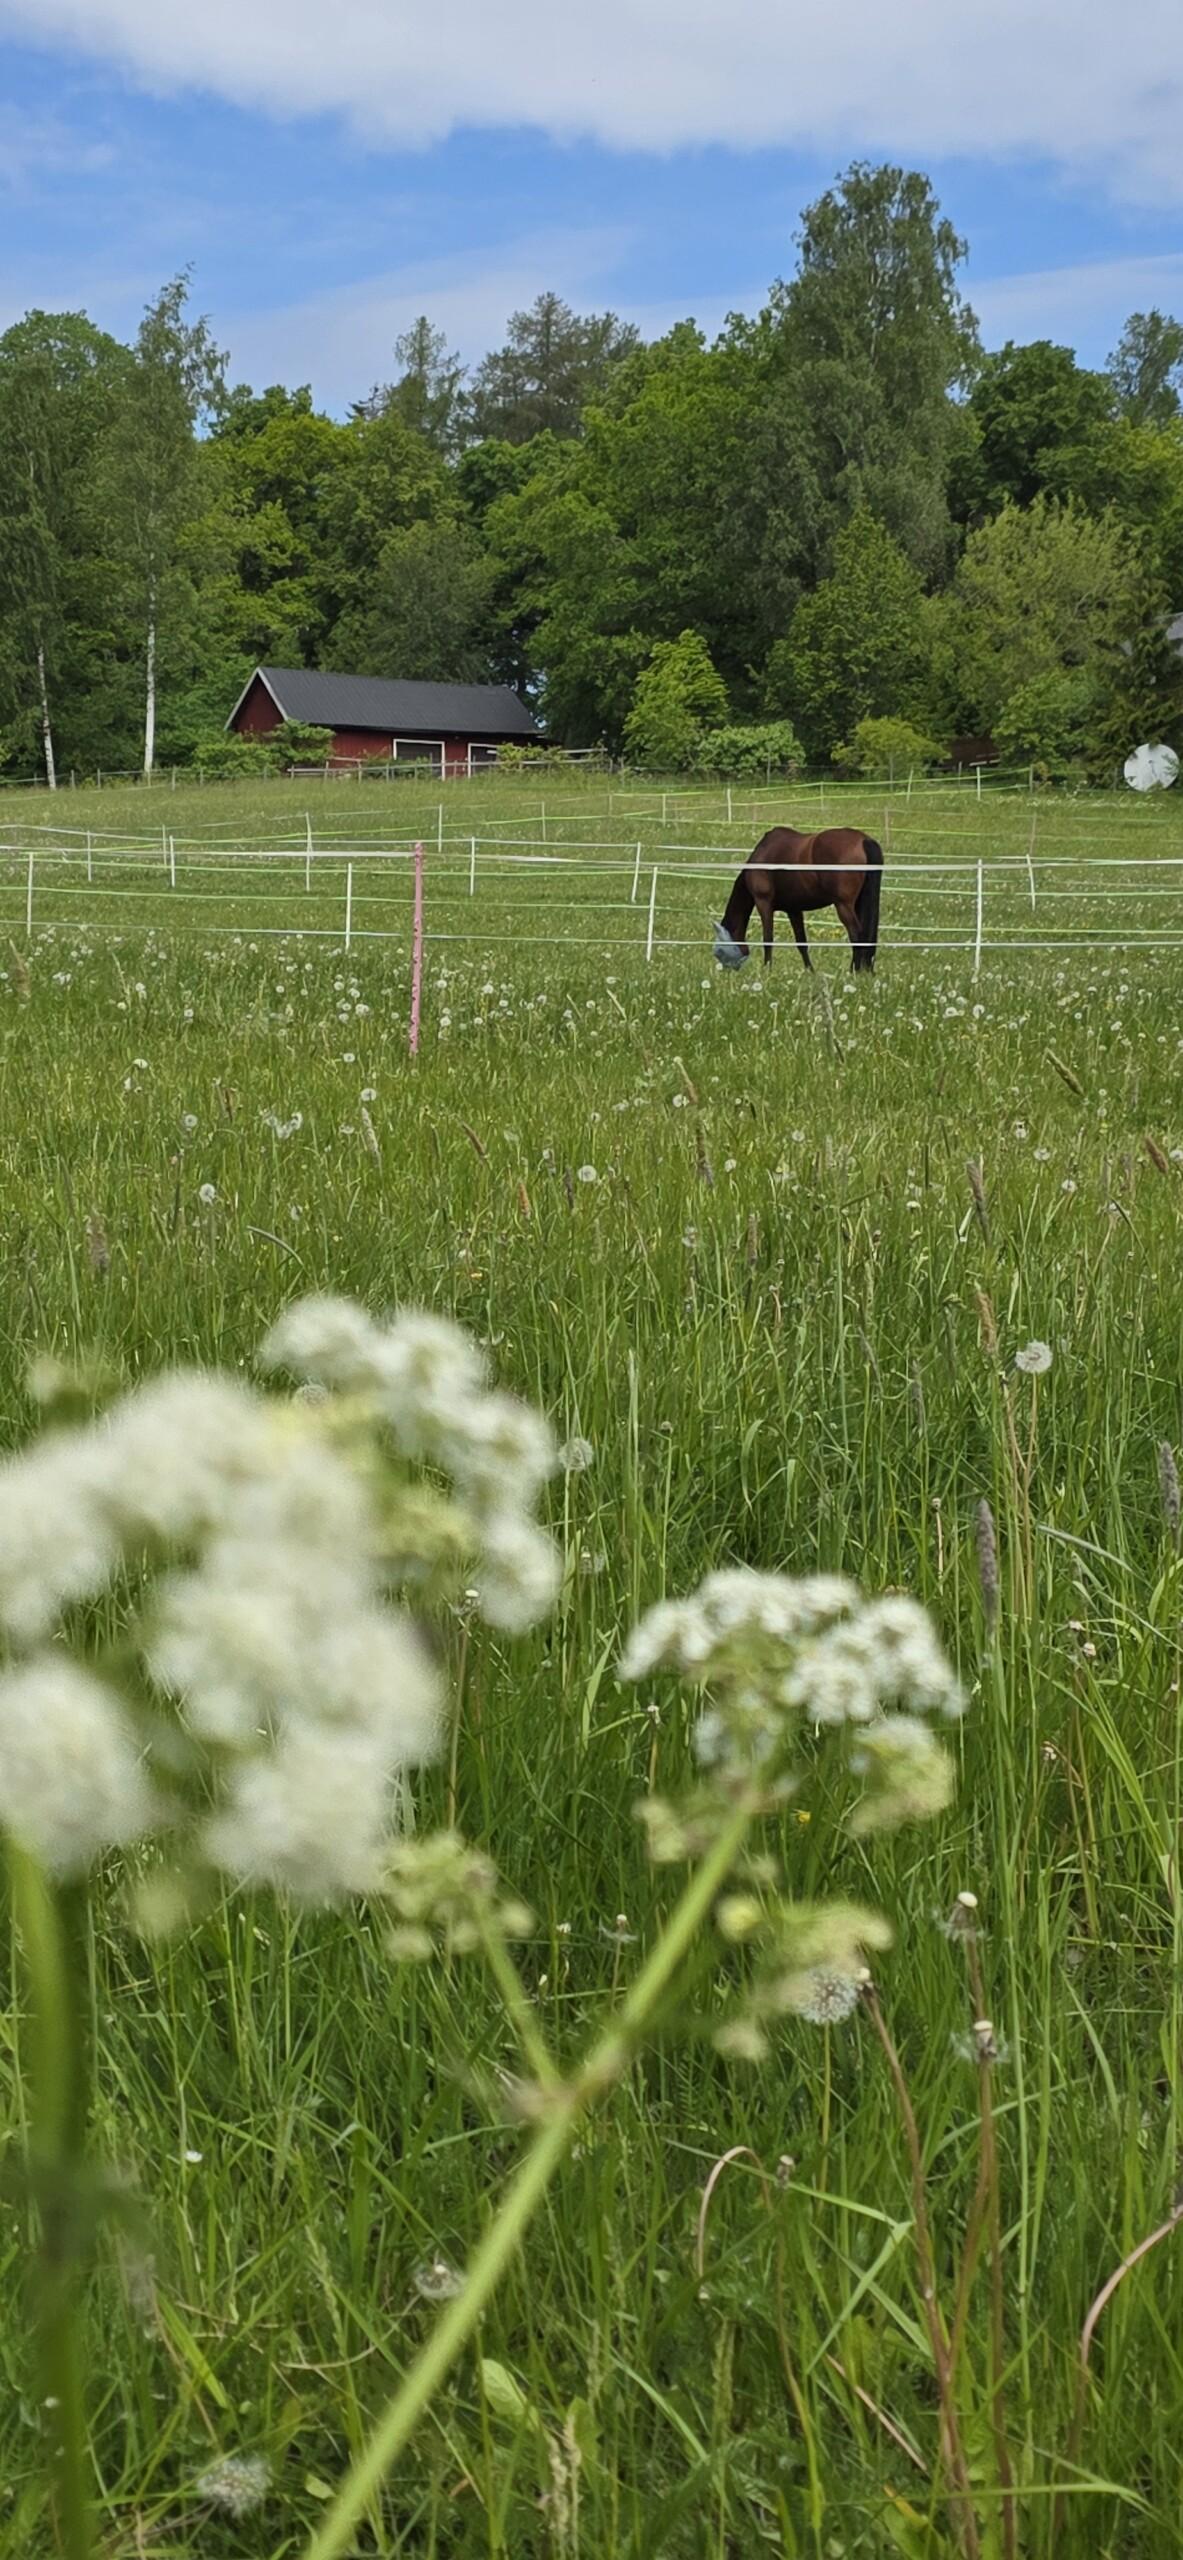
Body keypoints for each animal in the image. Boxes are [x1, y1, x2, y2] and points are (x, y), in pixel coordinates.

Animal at [713, 826, 884, 973]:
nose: (726, 973)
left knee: (857, 935)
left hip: (844, 905)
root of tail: (863, 840)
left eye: (719, 951)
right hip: (858, 903)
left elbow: (768, 939)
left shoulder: (763, 903)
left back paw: (853, 971)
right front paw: (810, 972)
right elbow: (801, 942)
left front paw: (767, 970)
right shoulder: (794, 910)